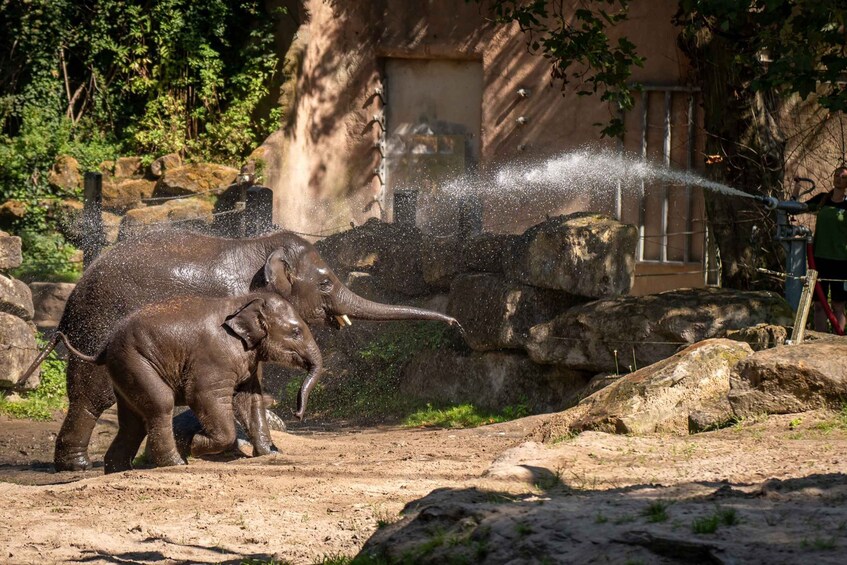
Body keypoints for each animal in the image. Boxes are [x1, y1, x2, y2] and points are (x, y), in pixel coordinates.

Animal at [56, 294, 322, 474]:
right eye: (296, 332)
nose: (297, 414)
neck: (243, 301)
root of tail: (105, 346)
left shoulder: (247, 359)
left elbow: (250, 400)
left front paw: (271, 453)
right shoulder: (214, 359)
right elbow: (203, 395)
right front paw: (193, 444)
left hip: (124, 371)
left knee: (133, 422)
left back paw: (120, 471)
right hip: (136, 362)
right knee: (160, 405)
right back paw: (176, 463)